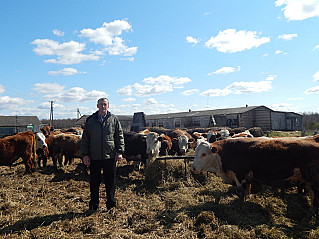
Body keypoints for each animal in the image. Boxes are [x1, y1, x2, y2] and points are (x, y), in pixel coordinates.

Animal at [191, 138, 319, 213]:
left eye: (203, 154)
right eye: (195, 151)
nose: (193, 168)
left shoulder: (240, 176)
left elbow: (241, 192)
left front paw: (242, 205)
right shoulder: (247, 178)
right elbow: (248, 190)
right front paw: (248, 199)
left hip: (314, 181)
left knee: (315, 197)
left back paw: (312, 210)